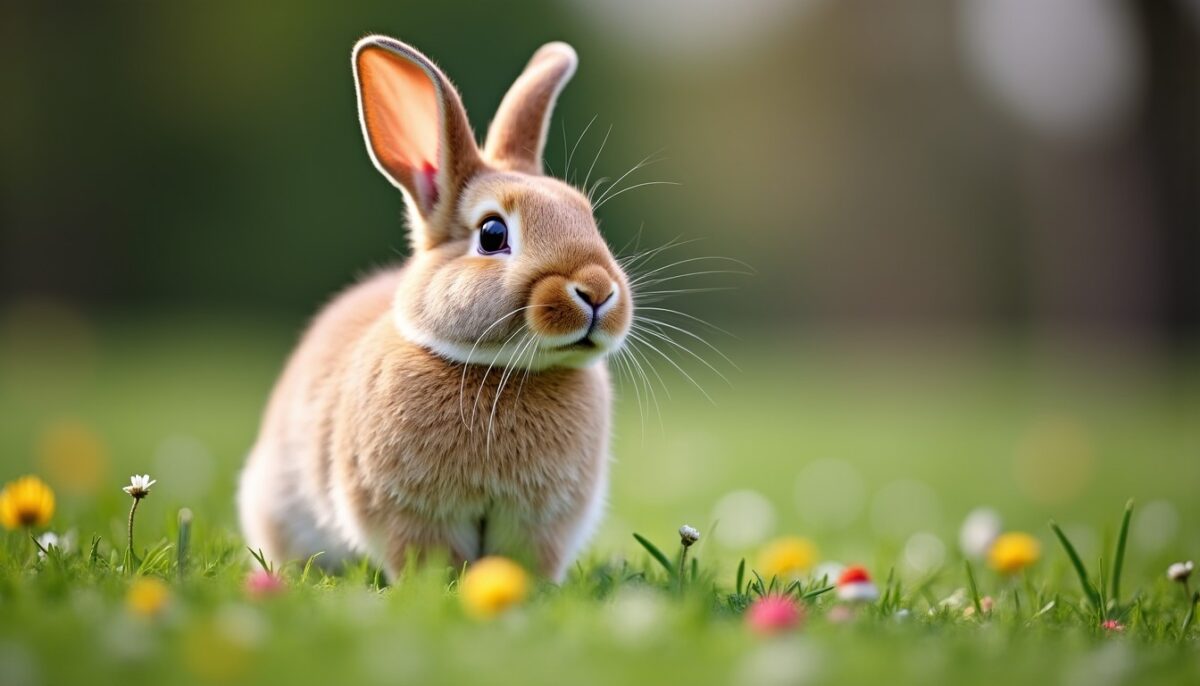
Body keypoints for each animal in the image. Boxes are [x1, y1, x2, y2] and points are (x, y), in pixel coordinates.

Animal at [237, 35, 633, 582]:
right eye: (493, 233)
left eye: (586, 216)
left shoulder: (540, 524)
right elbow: (427, 557)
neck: (500, 370)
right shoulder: (411, 514)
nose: (597, 291)